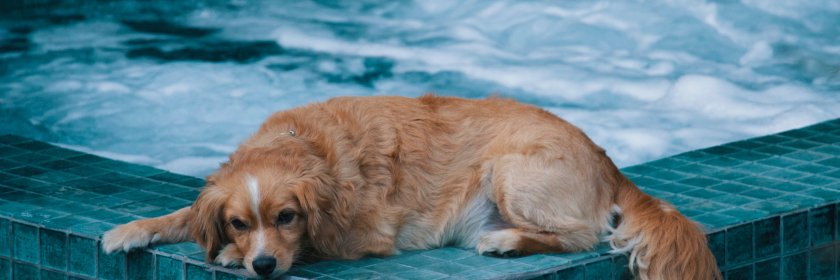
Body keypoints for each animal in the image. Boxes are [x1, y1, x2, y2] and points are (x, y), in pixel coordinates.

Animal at [103, 95, 720, 278]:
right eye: (237, 219)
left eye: (288, 217)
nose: (264, 265)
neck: (304, 144)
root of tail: (606, 158)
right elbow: (185, 212)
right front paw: (133, 229)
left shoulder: (365, 234)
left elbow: (319, 245)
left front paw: (232, 257)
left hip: (510, 171)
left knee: (579, 237)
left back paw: (506, 241)